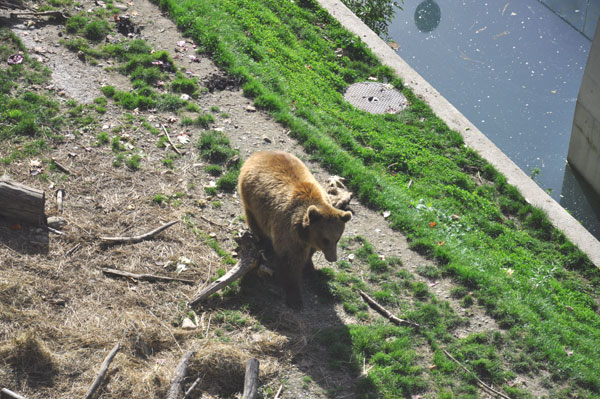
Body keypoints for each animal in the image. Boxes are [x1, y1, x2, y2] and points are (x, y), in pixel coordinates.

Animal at [238, 150, 352, 310]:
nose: (332, 258)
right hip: (253, 202)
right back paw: (262, 241)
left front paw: (311, 269)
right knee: (255, 221)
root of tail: (260, 153)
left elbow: (309, 254)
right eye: (326, 239)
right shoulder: (289, 232)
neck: (304, 233)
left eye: (337, 239)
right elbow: (291, 261)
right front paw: (295, 297)